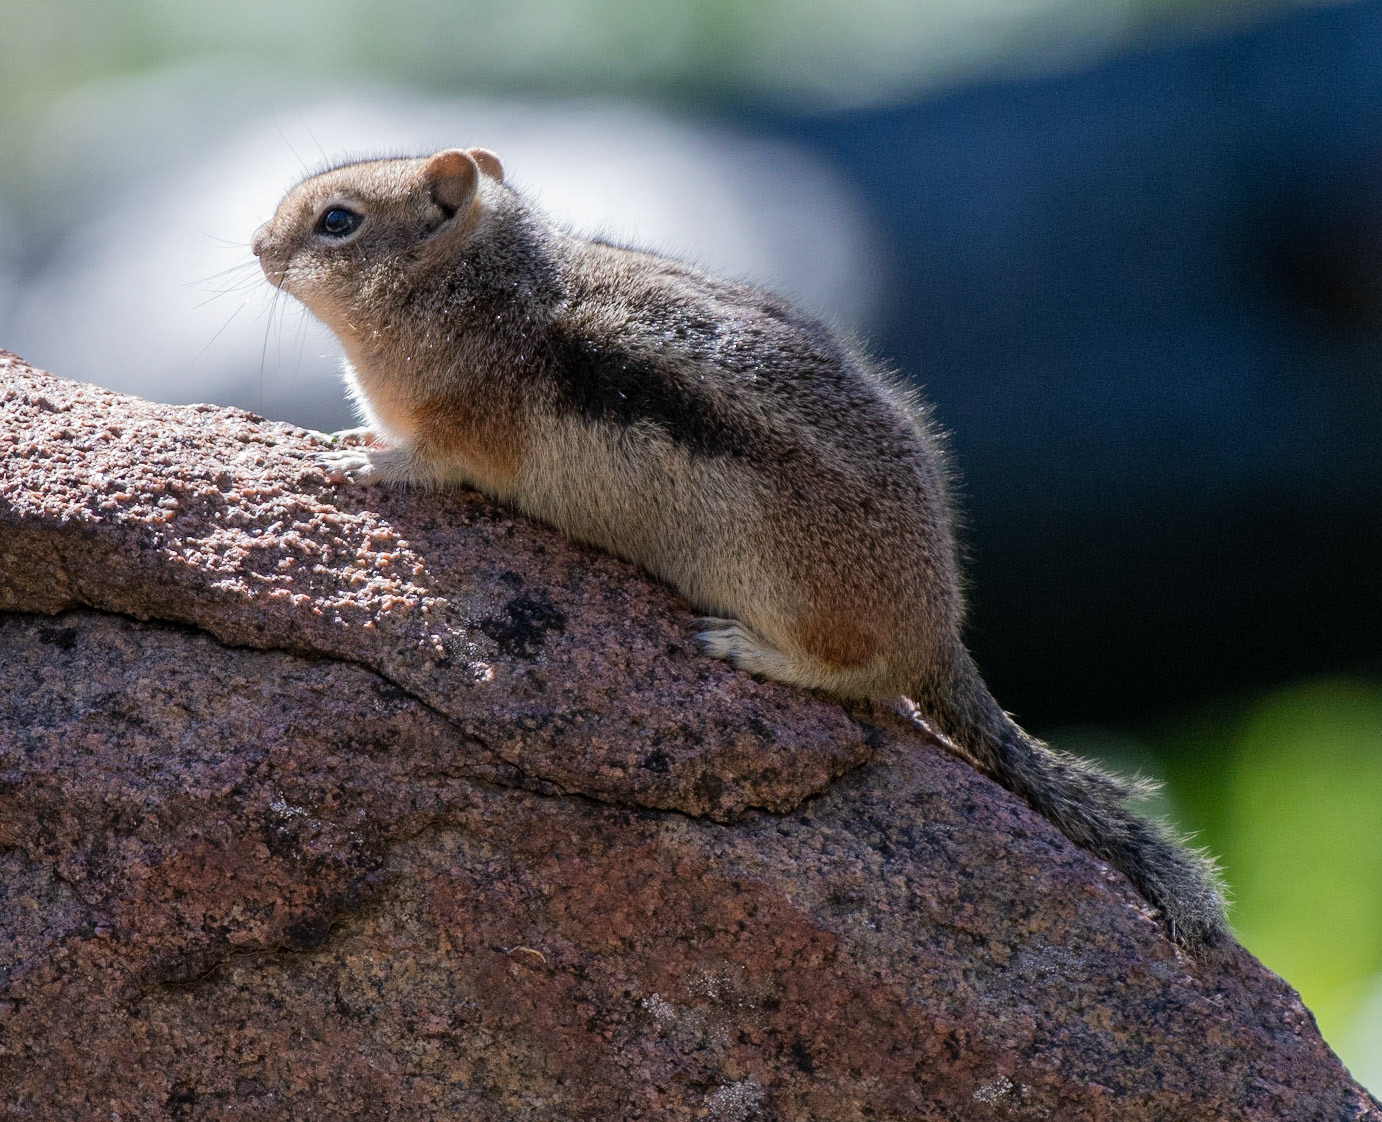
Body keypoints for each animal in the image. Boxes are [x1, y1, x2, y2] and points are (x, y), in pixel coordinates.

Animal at [252, 147, 1227, 949]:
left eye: (337, 221)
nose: (258, 245)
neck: (480, 291)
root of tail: (937, 630)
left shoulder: (462, 431)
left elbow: (426, 464)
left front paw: (356, 462)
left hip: (788, 587)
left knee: (855, 674)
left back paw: (751, 651)